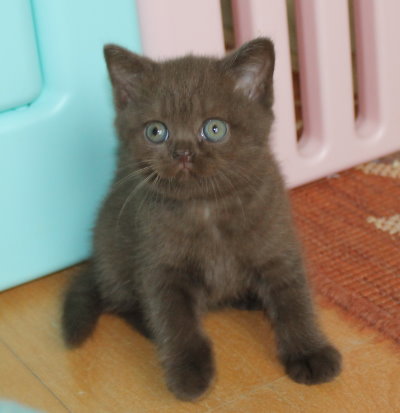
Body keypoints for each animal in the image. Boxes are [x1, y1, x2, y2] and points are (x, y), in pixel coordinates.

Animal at [62, 38, 341, 400]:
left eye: (214, 128)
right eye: (156, 131)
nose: (183, 152)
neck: (207, 206)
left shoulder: (277, 246)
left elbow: (294, 299)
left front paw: (310, 352)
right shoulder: (160, 266)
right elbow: (175, 320)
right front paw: (189, 373)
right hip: (114, 253)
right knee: (120, 300)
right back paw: (148, 324)